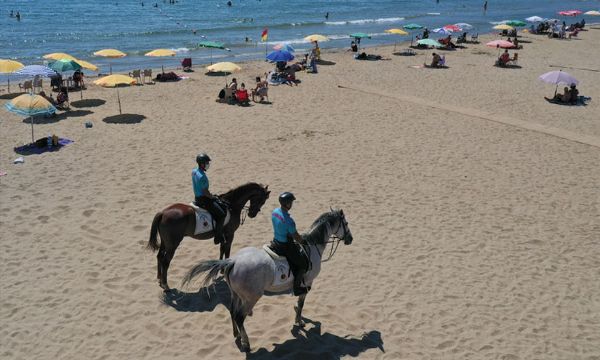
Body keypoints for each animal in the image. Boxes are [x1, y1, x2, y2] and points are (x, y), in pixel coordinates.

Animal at [183, 208, 352, 352]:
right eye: (346, 223)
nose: (350, 239)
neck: (311, 246)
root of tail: (233, 261)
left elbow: (299, 303)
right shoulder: (308, 282)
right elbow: (301, 303)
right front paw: (299, 321)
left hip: (235, 294)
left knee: (232, 311)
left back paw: (236, 335)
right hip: (252, 298)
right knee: (239, 317)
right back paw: (246, 343)